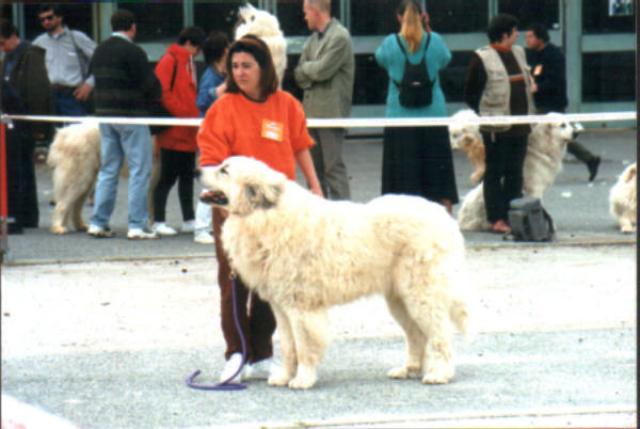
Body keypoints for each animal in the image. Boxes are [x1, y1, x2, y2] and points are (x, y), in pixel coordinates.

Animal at [202, 156, 472, 388]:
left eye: (224, 170)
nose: (198, 170)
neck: (265, 214)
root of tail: (443, 216)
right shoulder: (282, 308)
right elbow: (289, 347)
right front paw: (284, 377)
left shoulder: (301, 308)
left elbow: (304, 347)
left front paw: (303, 379)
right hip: (400, 300)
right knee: (417, 335)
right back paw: (409, 369)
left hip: (422, 295)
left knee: (440, 334)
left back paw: (440, 374)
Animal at [456, 115, 584, 231]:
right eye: (562, 125)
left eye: (569, 123)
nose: (576, 133)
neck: (543, 148)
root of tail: (461, 220)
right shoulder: (536, 189)